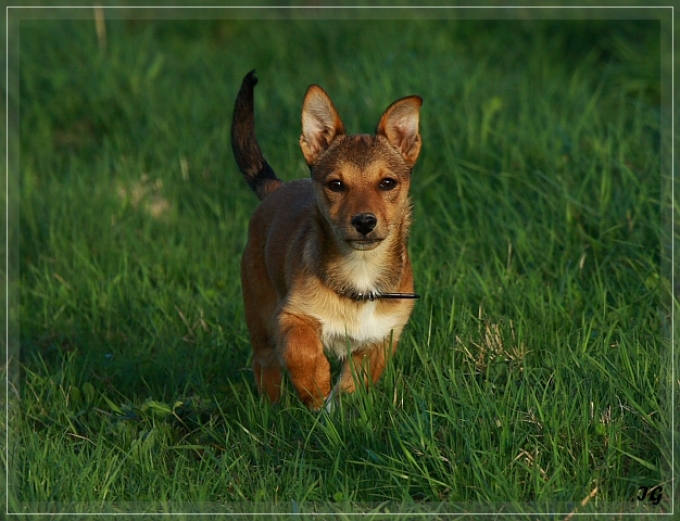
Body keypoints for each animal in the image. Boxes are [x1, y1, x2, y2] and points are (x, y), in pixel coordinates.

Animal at [231, 70, 422, 410]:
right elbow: (302, 352)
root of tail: (276, 188)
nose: (364, 222)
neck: (360, 271)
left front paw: (336, 408)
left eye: (387, 183)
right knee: (265, 364)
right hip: (261, 315)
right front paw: (315, 389)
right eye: (336, 185)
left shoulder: (381, 338)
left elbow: (353, 383)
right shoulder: (291, 315)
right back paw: (273, 408)